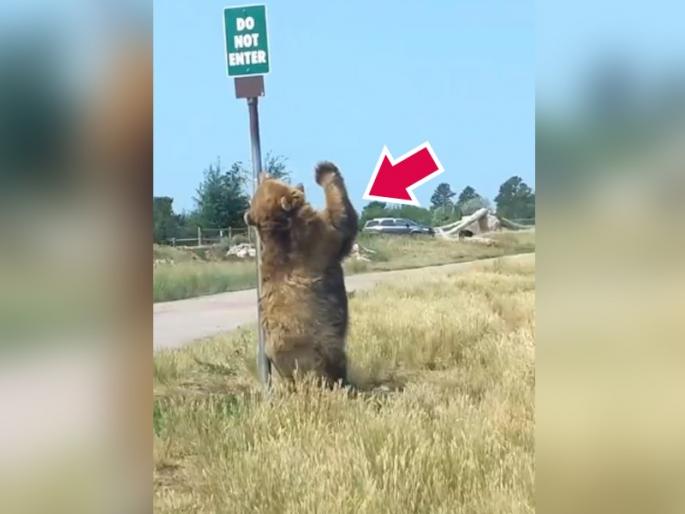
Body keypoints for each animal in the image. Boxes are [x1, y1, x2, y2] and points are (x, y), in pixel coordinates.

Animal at [244, 162, 358, 387]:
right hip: (319, 345)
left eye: (271, 178)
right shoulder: (318, 240)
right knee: (335, 361)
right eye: (277, 179)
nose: (263, 173)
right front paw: (324, 170)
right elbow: (341, 217)